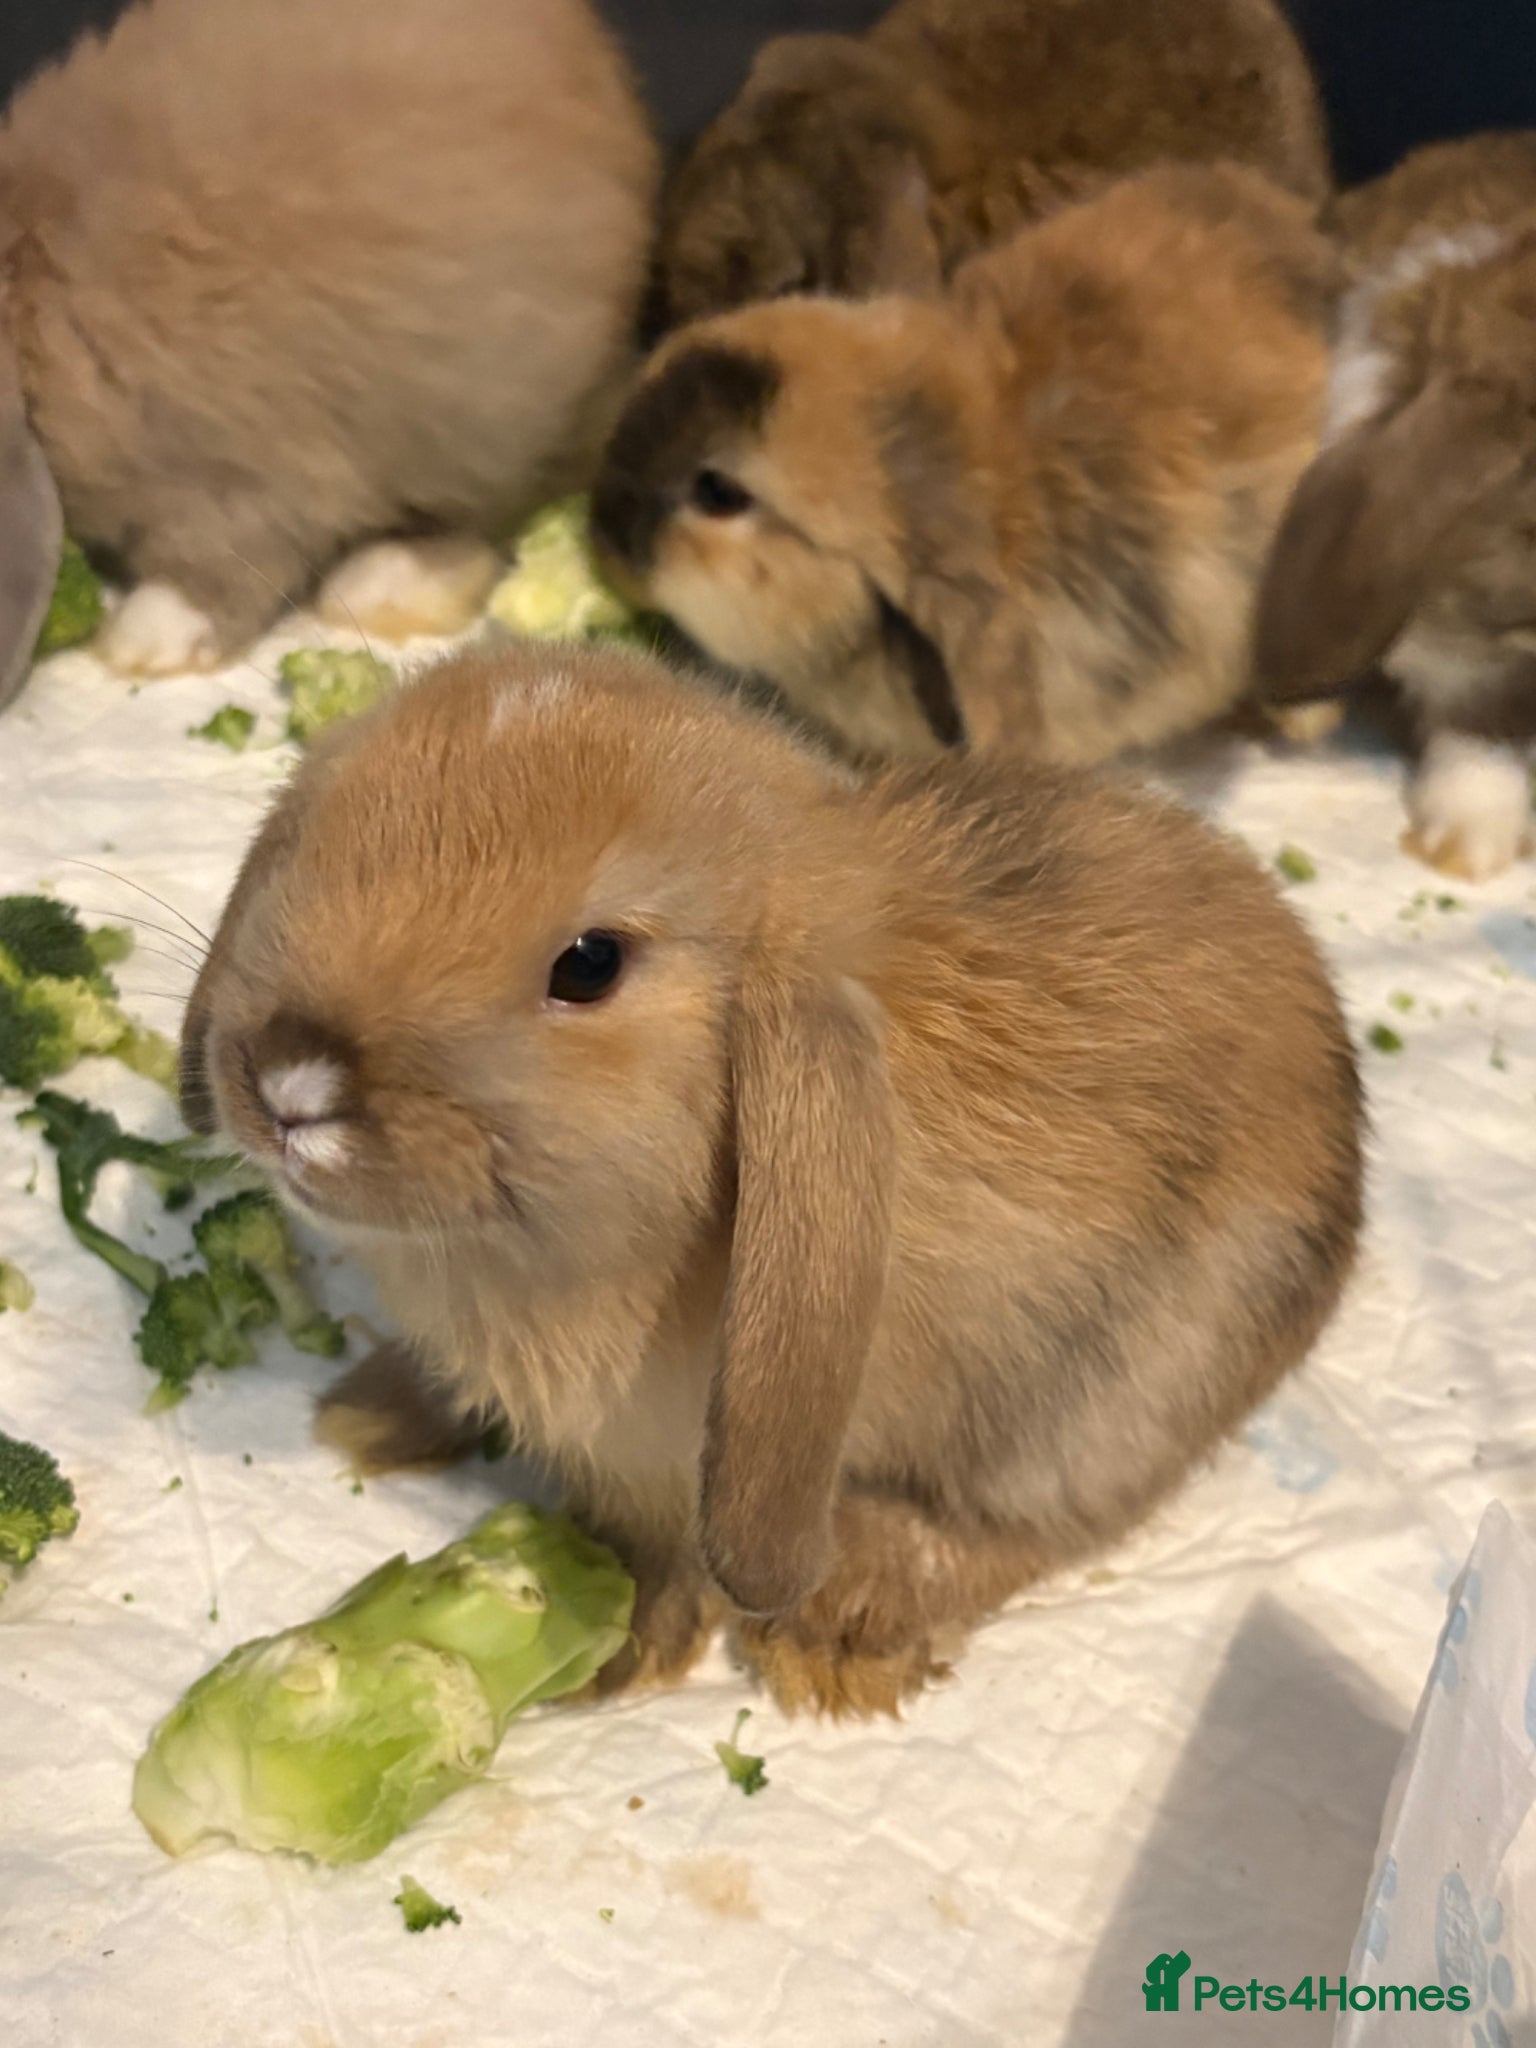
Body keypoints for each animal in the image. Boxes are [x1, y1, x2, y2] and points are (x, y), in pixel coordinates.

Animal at [179, 641, 1363, 1716]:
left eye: (590, 964)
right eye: (313, 840)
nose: (288, 1081)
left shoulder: (673, 1466)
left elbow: (665, 1550)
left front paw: (614, 1653)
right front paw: (370, 1414)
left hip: (1108, 1399)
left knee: (1020, 1526)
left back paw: (841, 1637)